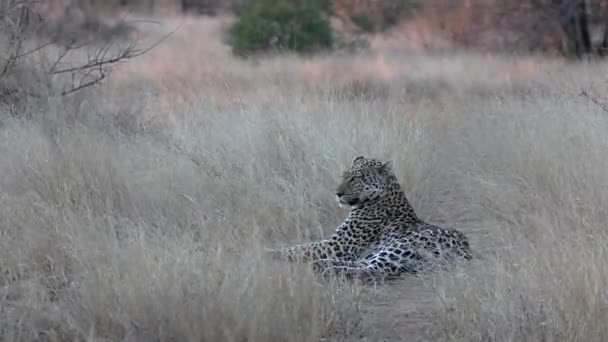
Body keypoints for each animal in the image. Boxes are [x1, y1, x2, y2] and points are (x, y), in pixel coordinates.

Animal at [268, 156, 472, 280]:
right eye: (344, 176)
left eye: (355, 179)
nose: (337, 193)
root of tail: (466, 251)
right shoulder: (338, 246)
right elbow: (303, 247)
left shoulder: (338, 245)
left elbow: (301, 248)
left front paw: (269, 252)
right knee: (364, 263)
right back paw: (322, 264)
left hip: (400, 246)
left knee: (374, 270)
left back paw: (325, 267)